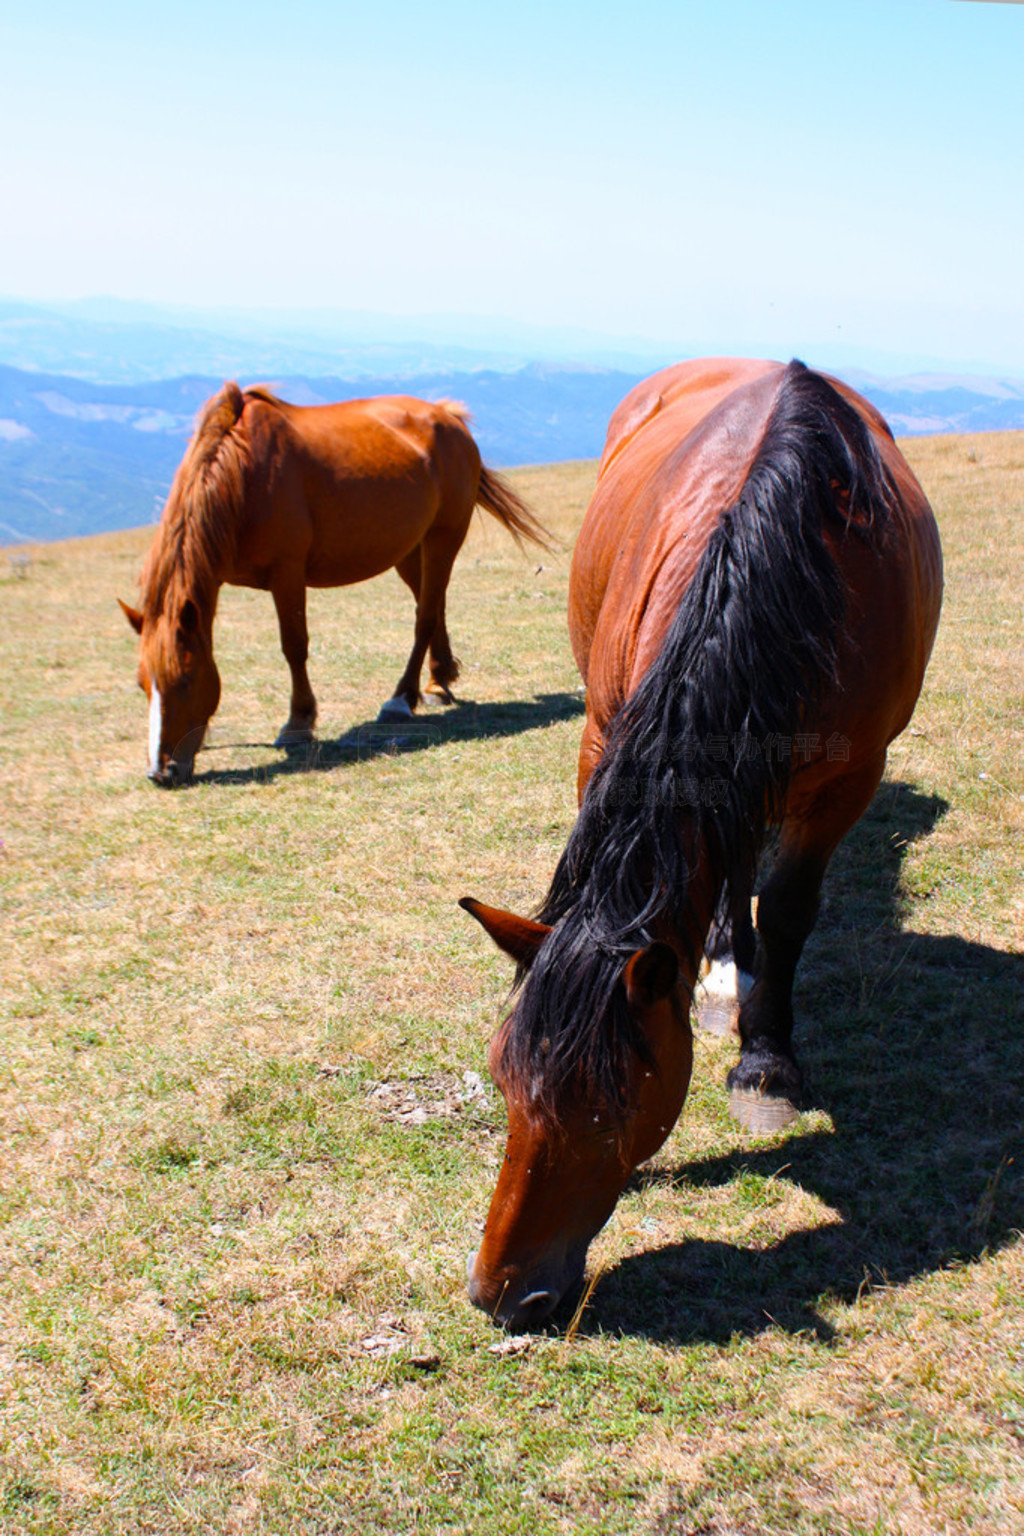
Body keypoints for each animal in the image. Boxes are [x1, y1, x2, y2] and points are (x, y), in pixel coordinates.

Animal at [120, 382, 552, 786]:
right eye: (142, 684)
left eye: (185, 680)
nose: (161, 771)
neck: (242, 479)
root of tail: (449, 417)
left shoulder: (287, 573)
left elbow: (294, 647)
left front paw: (298, 722)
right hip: (408, 548)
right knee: (434, 603)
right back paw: (437, 680)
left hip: (443, 537)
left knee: (426, 615)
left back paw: (401, 698)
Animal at [463, 353, 945, 1327]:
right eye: (502, 1079)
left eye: (611, 1110)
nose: (499, 1294)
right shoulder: (606, 733)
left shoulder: (847, 781)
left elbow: (789, 910)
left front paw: (768, 1064)